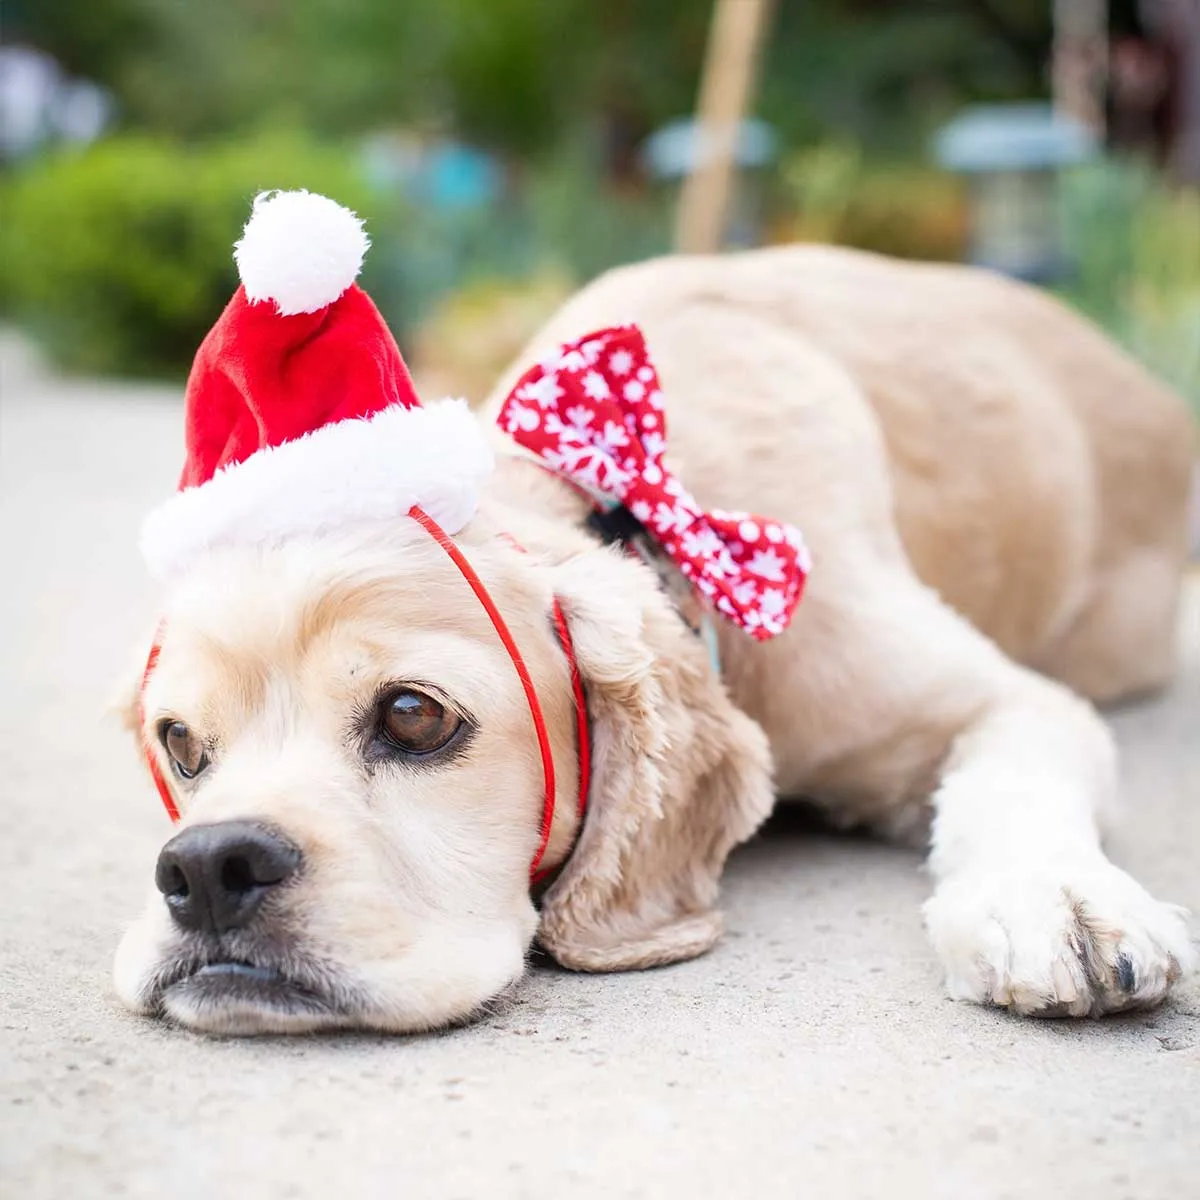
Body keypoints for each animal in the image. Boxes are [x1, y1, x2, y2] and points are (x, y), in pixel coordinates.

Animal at [114, 246, 1190, 1032]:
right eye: (180, 742)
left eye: (414, 716)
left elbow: (1013, 784)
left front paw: (1058, 900)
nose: (205, 869)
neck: (634, 500)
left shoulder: (999, 698)